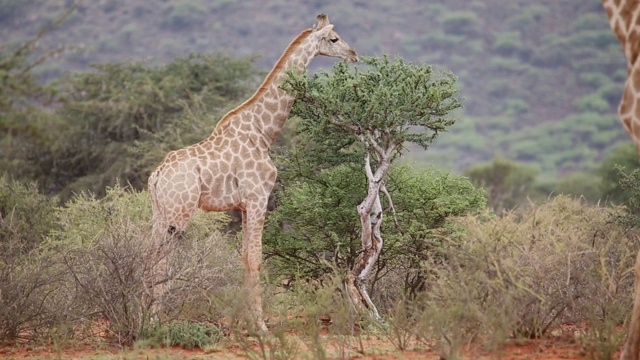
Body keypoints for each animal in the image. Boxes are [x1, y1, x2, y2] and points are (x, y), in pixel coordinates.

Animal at [147, 14, 358, 330]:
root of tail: (156, 175)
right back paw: (153, 319)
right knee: (161, 257)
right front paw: (261, 325)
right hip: (178, 212)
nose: (354, 54)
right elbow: (257, 260)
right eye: (334, 39)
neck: (263, 132)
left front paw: (242, 322)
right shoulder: (259, 198)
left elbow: (245, 259)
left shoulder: (244, 206)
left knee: (147, 253)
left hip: (159, 213)